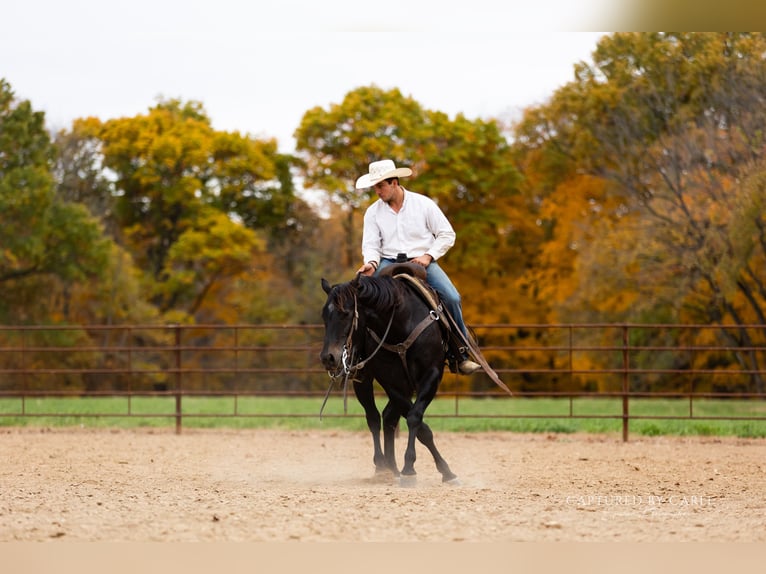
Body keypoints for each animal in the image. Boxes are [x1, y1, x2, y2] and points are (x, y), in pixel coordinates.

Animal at [319, 268, 458, 485]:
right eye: (324, 315)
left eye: (346, 313)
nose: (328, 357)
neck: (402, 324)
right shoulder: (391, 382)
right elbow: (418, 425)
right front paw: (415, 469)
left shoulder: (431, 375)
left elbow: (414, 418)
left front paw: (423, 469)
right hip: (363, 382)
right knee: (374, 418)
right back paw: (382, 466)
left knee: (388, 417)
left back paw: (392, 467)